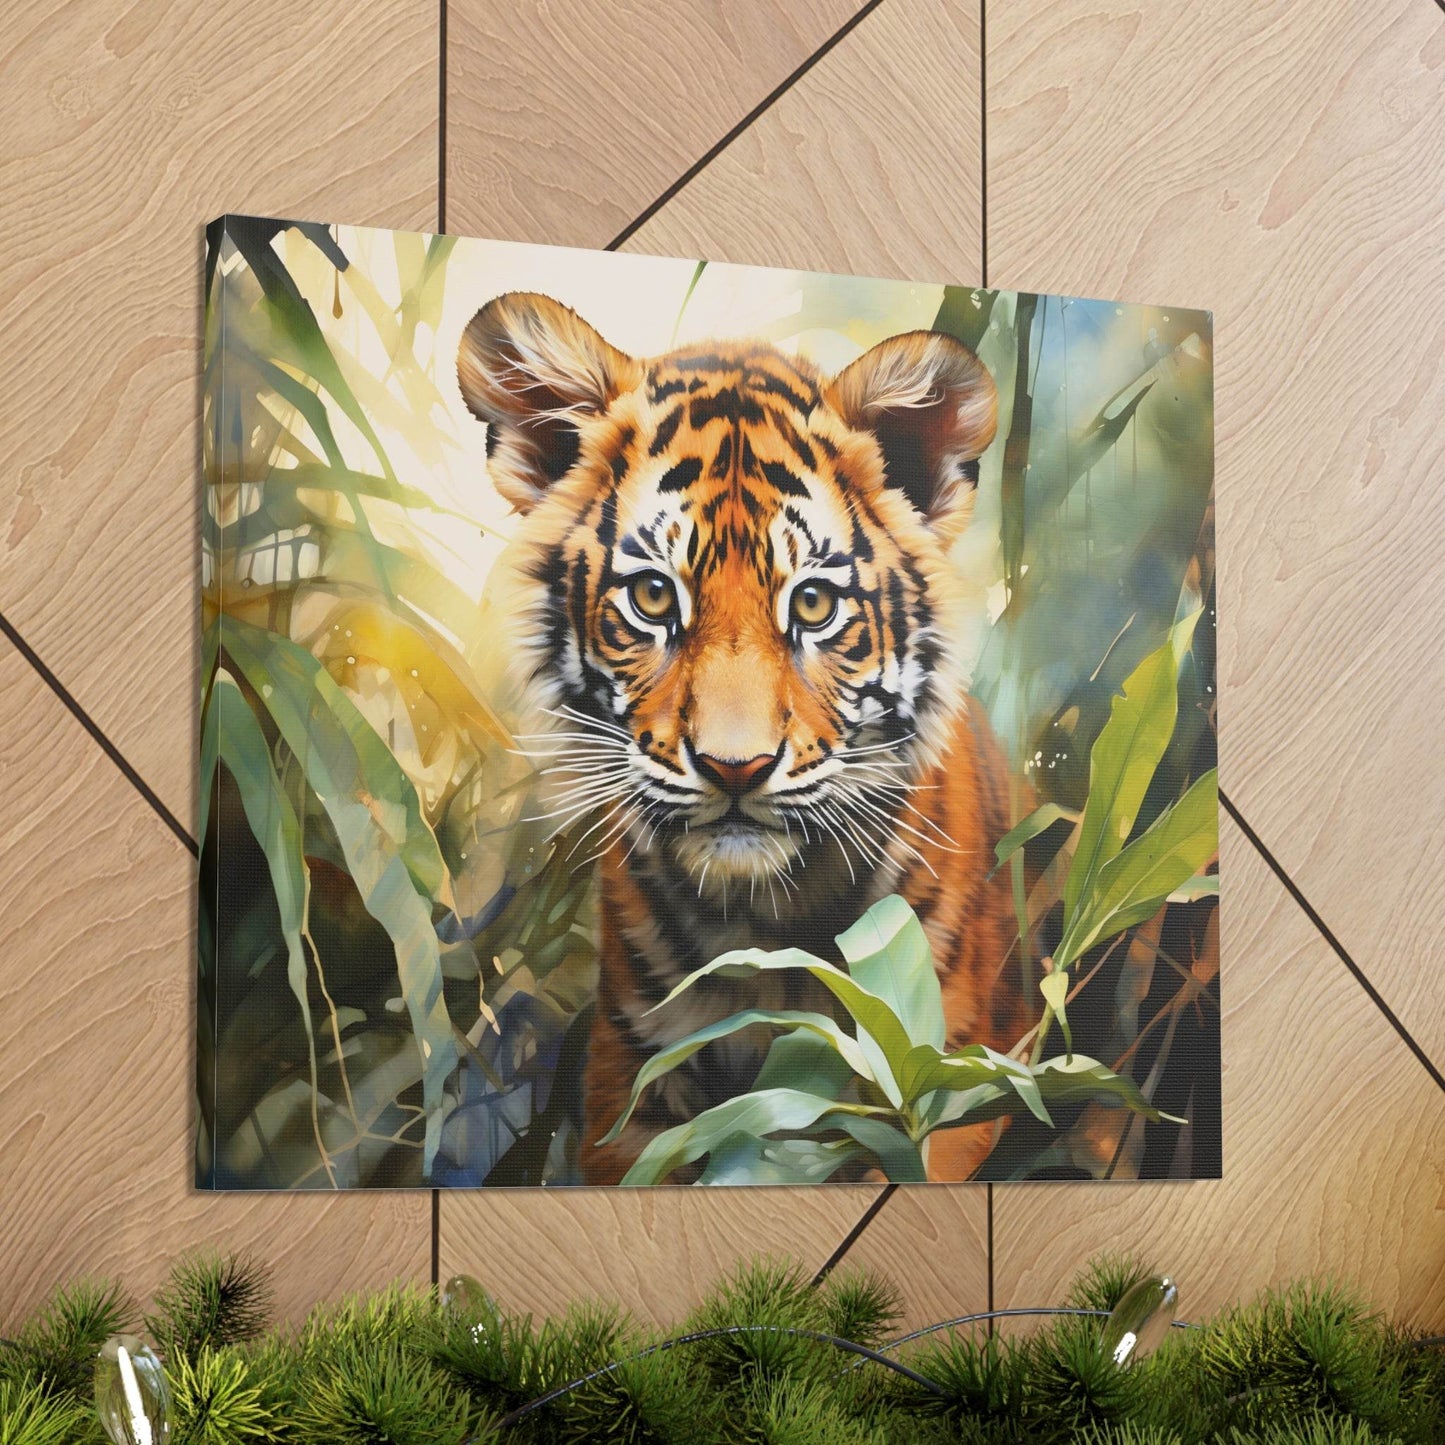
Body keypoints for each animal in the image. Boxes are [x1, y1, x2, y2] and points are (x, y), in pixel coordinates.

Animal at [457, 290, 1035, 1185]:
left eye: (813, 604)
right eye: (654, 597)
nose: (737, 768)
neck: (766, 924)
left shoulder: (950, 1089)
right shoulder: (629, 1090)